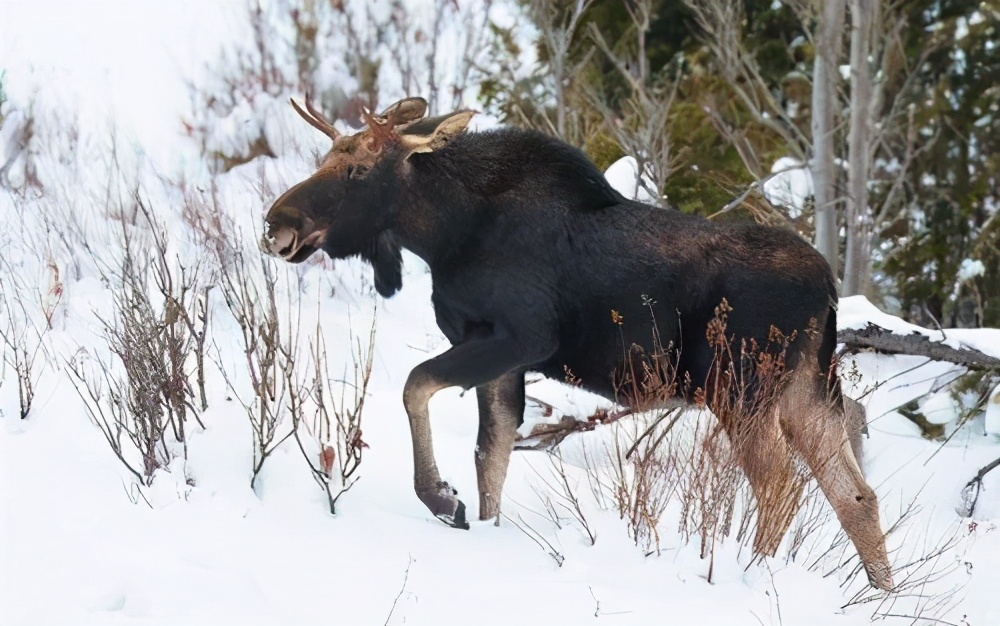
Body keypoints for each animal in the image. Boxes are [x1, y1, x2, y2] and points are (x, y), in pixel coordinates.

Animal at [262, 95, 896, 588]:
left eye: (358, 170)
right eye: (325, 159)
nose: (277, 223)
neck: (443, 233)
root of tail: (827, 289)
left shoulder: (518, 336)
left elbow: (417, 387)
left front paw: (442, 498)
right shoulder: (503, 357)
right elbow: (490, 455)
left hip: (741, 389)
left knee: (780, 487)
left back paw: (753, 577)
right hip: (806, 389)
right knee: (856, 494)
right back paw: (881, 595)